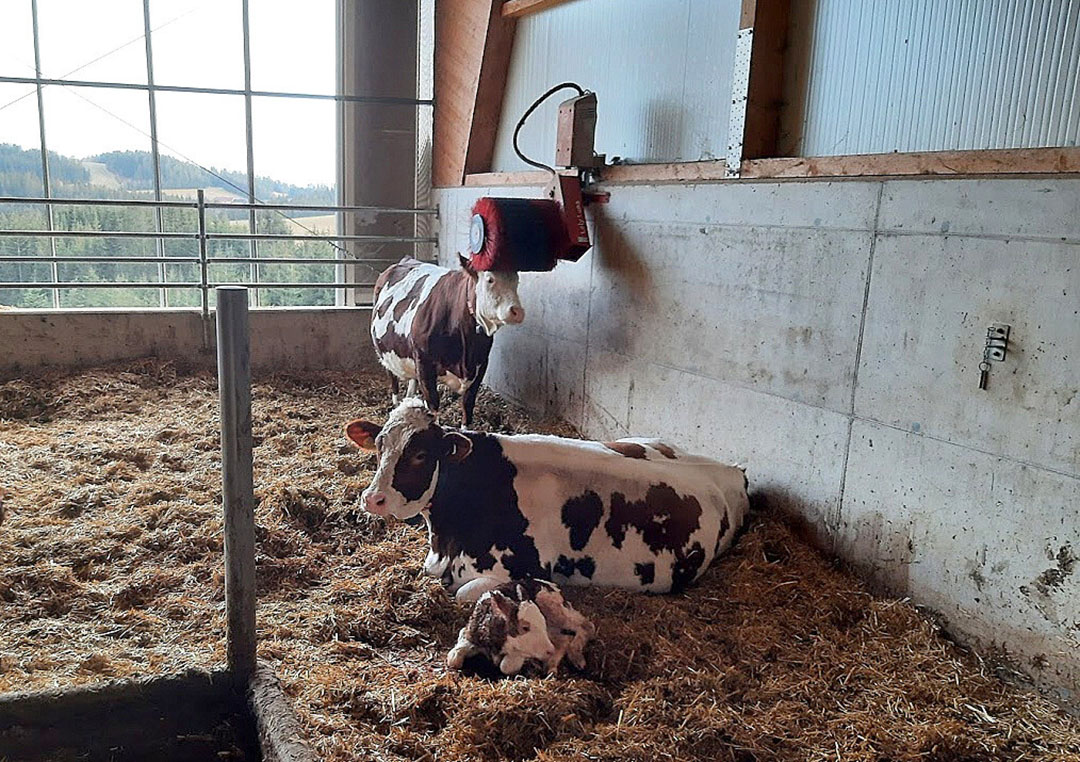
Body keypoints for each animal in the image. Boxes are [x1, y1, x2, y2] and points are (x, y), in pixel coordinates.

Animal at [345, 397, 751, 600]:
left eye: (420, 455)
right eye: (379, 445)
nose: (372, 498)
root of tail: (728, 470)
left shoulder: (527, 572)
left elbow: (463, 593)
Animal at [369, 256, 524, 425]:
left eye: (516, 280)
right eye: (490, 279)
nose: (517, 311)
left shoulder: (482, 364)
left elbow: (467, 405)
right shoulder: (424, 363)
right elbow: (433, 405)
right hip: (385, 354)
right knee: (393, 382)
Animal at [447, 578, 600, 673]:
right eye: (525, 628)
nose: (549, 650)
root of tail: (551, 586)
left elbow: (506, 666)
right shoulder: (469, 631)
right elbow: (453, 659)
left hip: (552, 608)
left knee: (586, 626)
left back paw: (576, 657)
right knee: (564, 639)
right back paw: (551, 665)